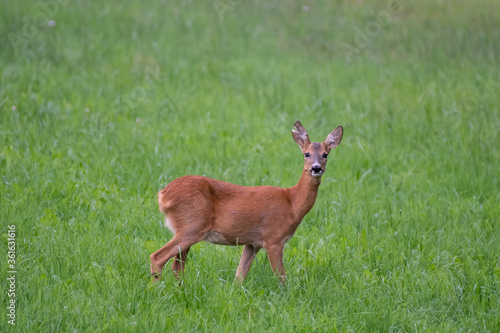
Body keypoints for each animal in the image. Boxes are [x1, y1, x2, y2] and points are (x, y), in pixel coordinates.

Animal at [149, 121, 344, 282]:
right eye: (306, 154)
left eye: (325, 154)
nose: (316, 168)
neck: (292, 203)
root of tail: (163, 194)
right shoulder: (273, 238)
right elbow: (281, 278)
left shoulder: (252, 243)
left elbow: (239, 276)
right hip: (193, 225)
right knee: (157, 257)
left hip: (186, 229)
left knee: (176, 266)